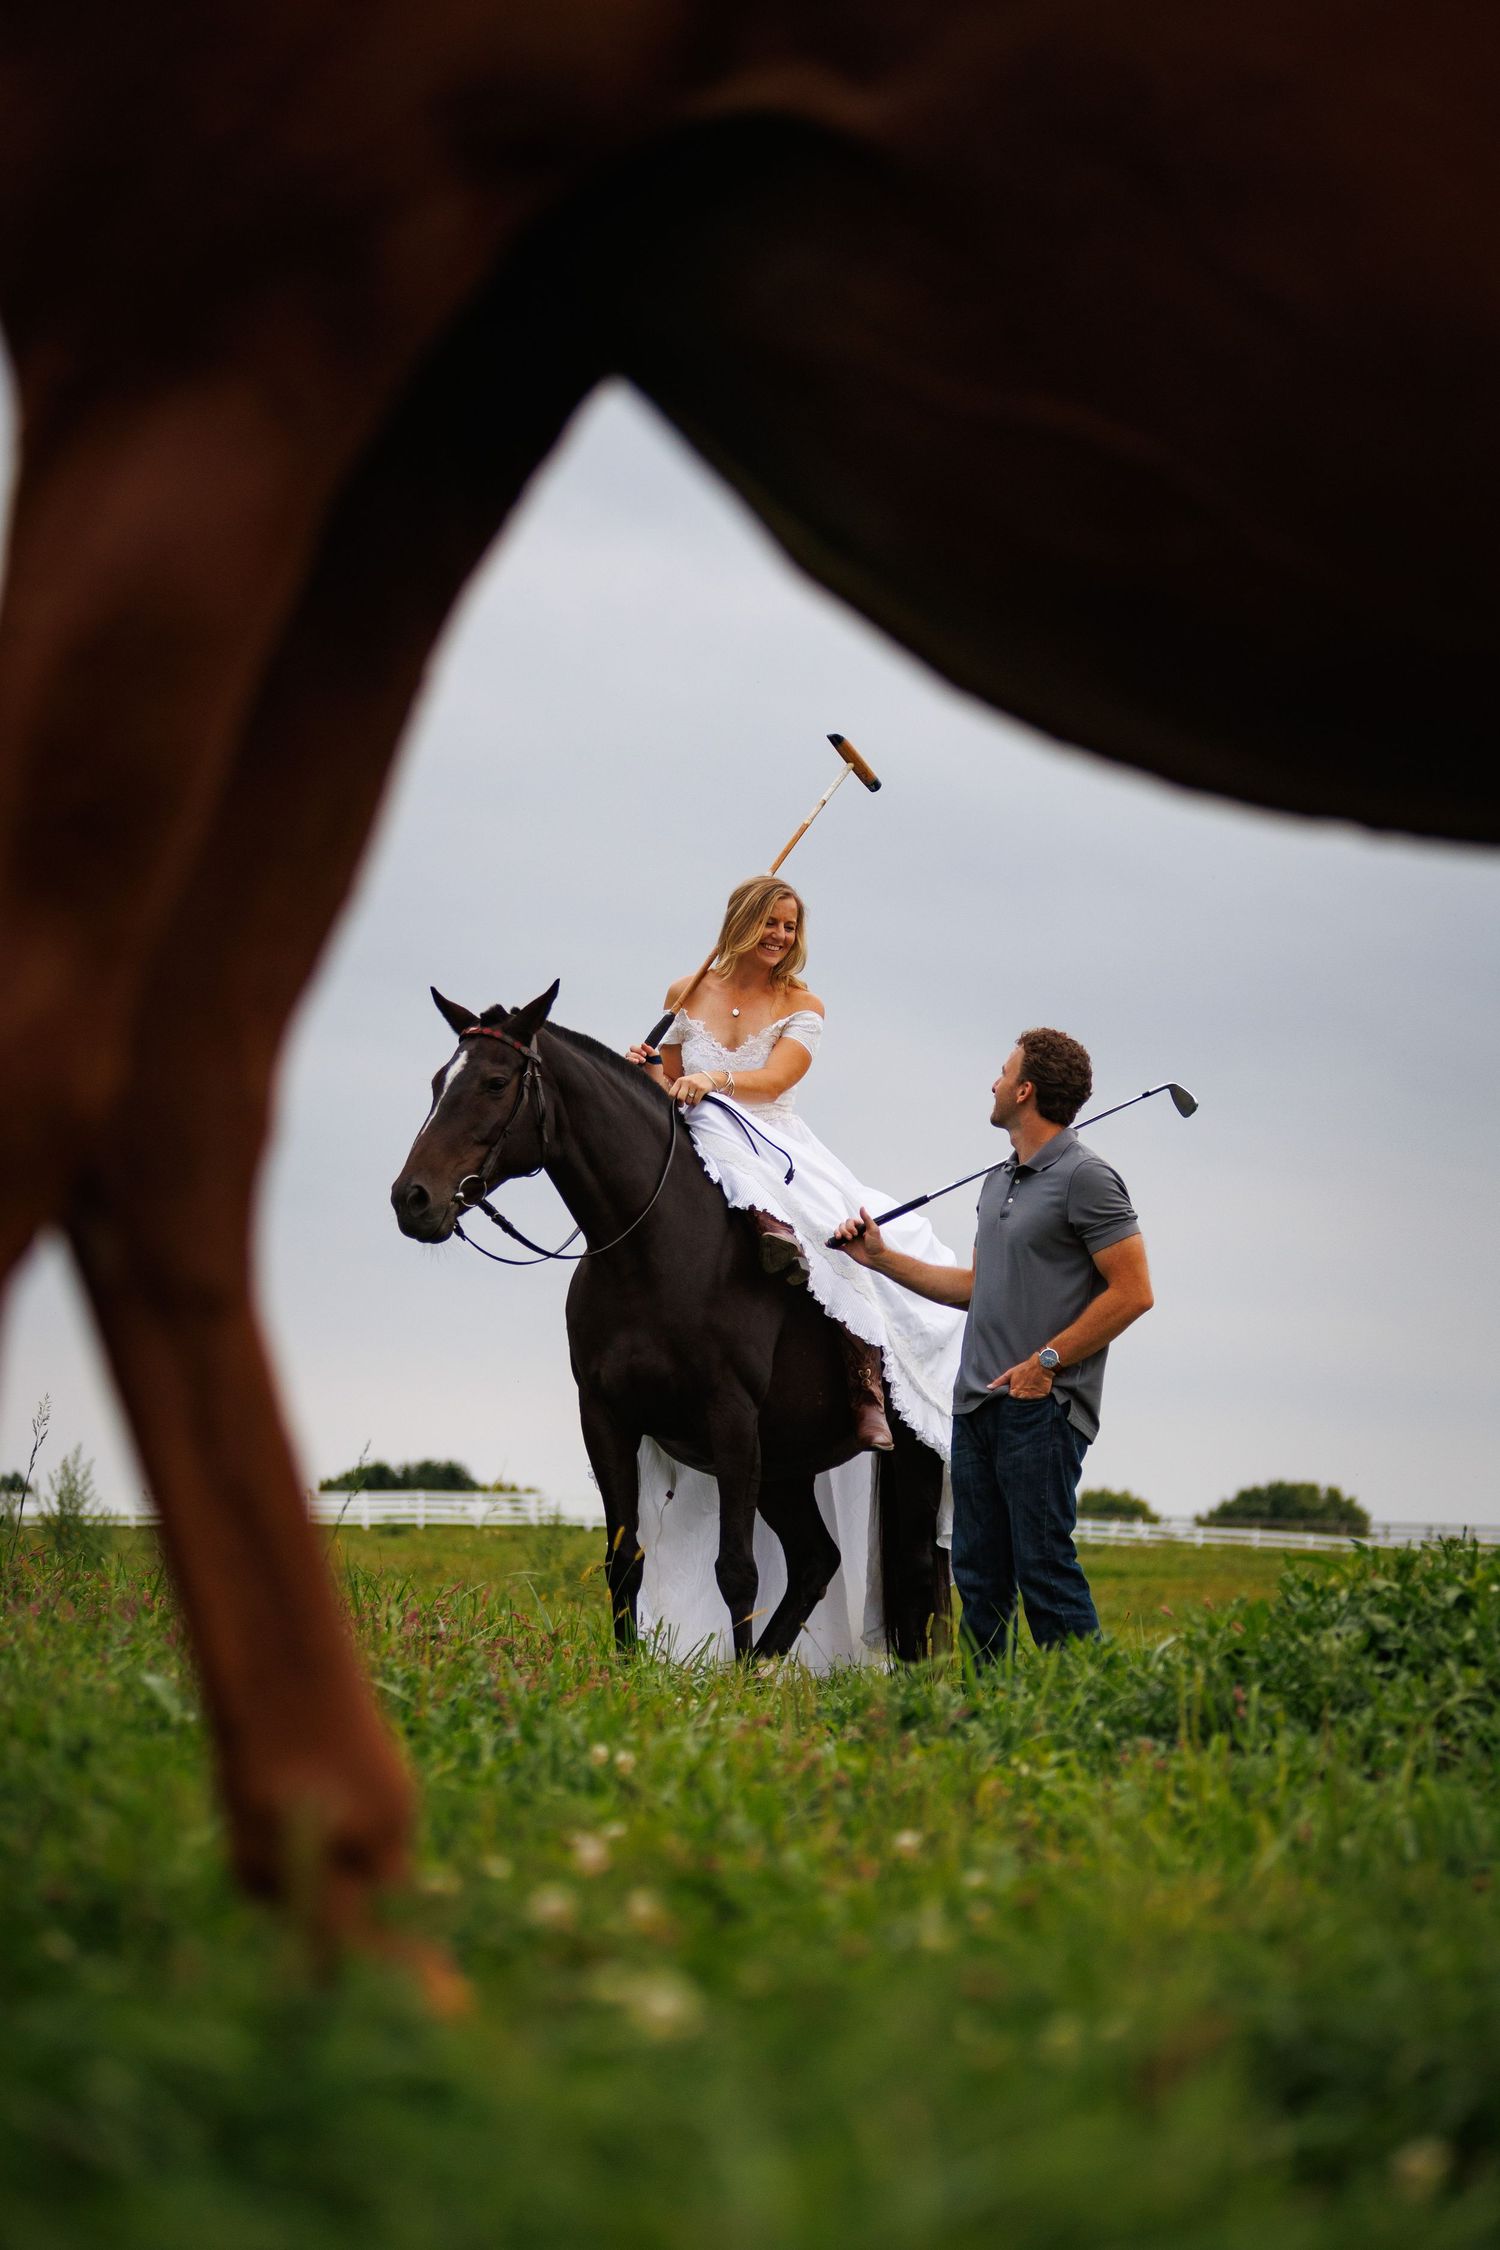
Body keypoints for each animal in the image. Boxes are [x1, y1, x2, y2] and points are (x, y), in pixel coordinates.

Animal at [390, 984, 951, 1664]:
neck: (655, 1248)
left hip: (910, 1461)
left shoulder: (731, 1419)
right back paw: (759, 1667)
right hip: (785, 1464)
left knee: (916, 1573)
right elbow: (623, 1560)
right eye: (439, 1081)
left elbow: (736, 1569)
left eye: (496, 1083)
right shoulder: (606, 1418)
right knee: (816, 1561)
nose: (412, 1199)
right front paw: (627, 1672)